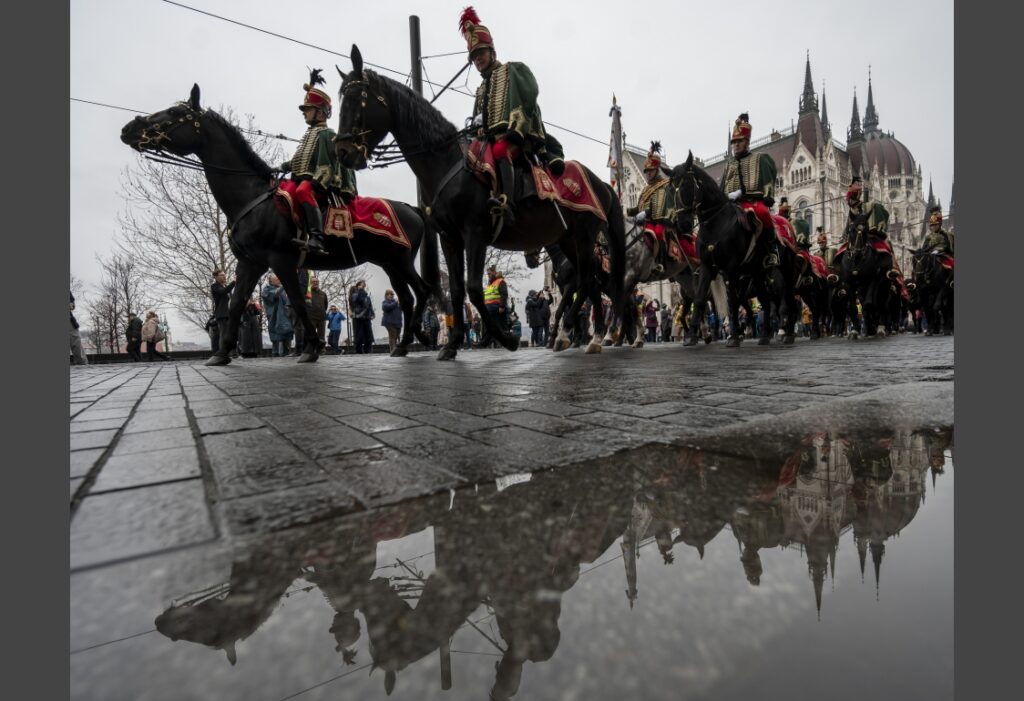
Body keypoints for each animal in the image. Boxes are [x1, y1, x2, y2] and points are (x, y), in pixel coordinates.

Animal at [119, 84, 440, 364]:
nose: (129, 128)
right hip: (390, 263)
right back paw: (406, 343)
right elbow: (236, 304)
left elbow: (297, 302)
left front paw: (312, 348)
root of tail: (411, 208)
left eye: (174, 112)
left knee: (422, 292)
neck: (252, 198)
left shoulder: (281, 260)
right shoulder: (250, 263)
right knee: (407, 298)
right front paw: (222, 352)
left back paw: (414, 340)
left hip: (401, 261)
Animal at [331, 46, 626, 360]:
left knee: (587, 281)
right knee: (590, 281)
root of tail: (601, 184)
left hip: (583, 235)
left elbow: (473, 288)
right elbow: (458, 290)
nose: (343, 152)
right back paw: (588, 336)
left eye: (359, 98)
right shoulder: (449, 238)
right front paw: (452, 344)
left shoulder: (476, 233)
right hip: (569, 238)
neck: (447, 161)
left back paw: (573, 332)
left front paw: (506, 338)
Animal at [667, 154, 802, 347]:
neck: (715, 223)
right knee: (766, 301)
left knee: (787, 298)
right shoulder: (708, 268)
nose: (682, 224)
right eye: (671, 189)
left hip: (786, 269)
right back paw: (765, 335)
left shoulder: (730, 269)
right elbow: (700, 300)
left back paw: (787, 333)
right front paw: (692, 336)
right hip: (757, 272)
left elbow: (731, 302)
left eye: (686, 184)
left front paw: (733, 336)